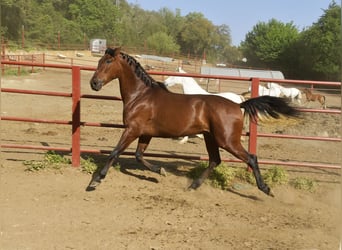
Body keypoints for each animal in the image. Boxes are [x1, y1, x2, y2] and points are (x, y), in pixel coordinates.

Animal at [87, 46, 300, 195]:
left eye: (108, 61)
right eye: (99, 60)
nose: (94, 83)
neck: (141, 96)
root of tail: (238, 104)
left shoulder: (132, 129)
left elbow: (115, 152)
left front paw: (95, 181)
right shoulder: (145, 133)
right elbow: (139, 156)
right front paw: (160, 171)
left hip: (227, 140)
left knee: (251, 158)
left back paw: (265, 189)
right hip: (210, 138)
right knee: (215, 160)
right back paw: (193, 186)